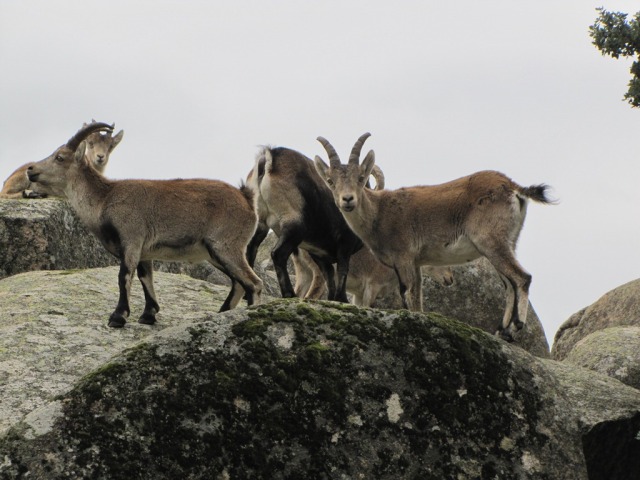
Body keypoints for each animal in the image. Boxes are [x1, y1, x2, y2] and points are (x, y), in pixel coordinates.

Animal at [26, 122, 262, 328]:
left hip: (226, 245)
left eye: (59, 157)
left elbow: (124, 276)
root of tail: (247, 199)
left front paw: (118, 317)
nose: (30, 169)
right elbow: (145, 277)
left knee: (254, 283)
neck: (105, 199)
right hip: (214, 253)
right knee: (239, 283)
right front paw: (148, 315)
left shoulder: (132, 238)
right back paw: (222, 313)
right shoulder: (145, 250)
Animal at [312, 133, 552, 340]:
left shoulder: (403, 257)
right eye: (331, 181)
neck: (379, 213)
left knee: (522, 278)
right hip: (505, 243)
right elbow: (418, 298)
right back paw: (501, 331)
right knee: (509, 284)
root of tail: (513, 186)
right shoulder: (417, 263)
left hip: (491, 242)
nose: (347, 199)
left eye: (360, 178)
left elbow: (406, 293)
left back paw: (514, 329)